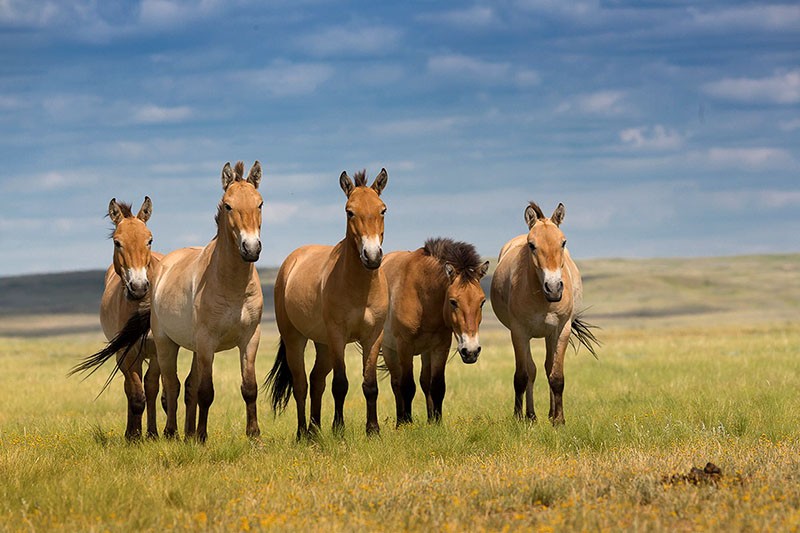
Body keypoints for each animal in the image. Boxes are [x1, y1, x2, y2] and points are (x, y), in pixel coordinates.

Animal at [71, 197, 165, 438]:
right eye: (117, 242)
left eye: (149, 240)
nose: (139, 287)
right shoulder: (126, 352)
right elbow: (136, 395)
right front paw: (134, 436)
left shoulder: (157, 351)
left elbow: (151, 388)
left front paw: (151, 434)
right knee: (129, 389)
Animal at [268, 168, 390, 438]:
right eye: (349, 211)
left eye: (383, 210)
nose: (372, 256)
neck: (360, 288)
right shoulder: (337, 336)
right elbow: (340, 384)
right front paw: (339, 428)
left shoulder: (373, 336)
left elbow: (370, 384)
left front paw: (373, 430)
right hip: (296, 339)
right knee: (301, 384)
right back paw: (302, 433)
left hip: (322, 345)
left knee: (316, 381)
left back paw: (315, 429)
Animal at [380, 237, 488, 424]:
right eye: (453, 301)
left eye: (482, 302)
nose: (471, 351)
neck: (421, 295)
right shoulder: (404, 346)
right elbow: (407, 386)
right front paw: (408, 423)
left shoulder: (440, 347)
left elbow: (437, 386)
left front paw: (436, 423)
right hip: (389, 350)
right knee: (396, 383)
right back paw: (401, 421)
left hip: (425, 351)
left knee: (425, 382)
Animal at [490, 202, 596, 426]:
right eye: (531, 245)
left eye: (563, 242)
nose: (554, 288)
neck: (543, 299)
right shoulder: (519, 333)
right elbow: (522, 376)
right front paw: (518, 417)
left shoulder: (560, 331)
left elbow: (556, 376)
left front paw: (559, 420)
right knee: (531, 370)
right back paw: (530, 415)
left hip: (549, 336)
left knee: (547, 368)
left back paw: (549, 413)